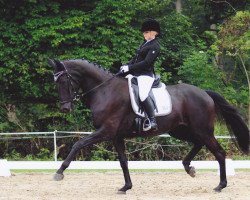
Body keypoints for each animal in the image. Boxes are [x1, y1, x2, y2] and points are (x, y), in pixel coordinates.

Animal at [47, 59, 249, 194]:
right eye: (55, 83)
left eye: (65, 81)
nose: (65, 108)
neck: (104, 91)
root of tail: (204, 93)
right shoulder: (116, 136)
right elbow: (123, 161)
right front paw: (126, 187)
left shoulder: (106, 131)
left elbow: (78, 144)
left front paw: (59, 172)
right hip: (180, 130)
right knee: (198, 144)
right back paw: (189, 168)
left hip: (202, 130)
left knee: (219, 153)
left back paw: (220, 185)